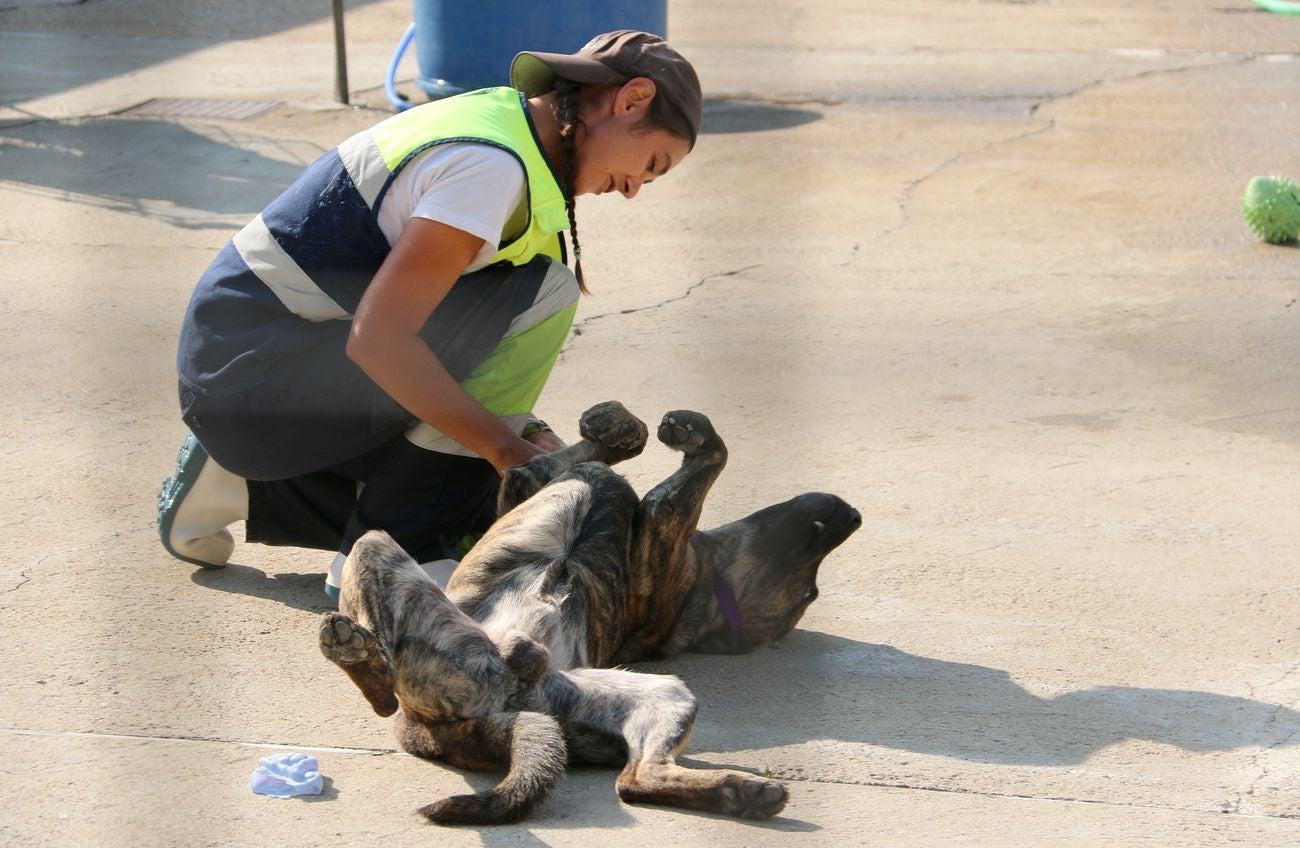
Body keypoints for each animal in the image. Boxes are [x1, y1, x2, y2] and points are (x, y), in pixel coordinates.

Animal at [319, 400, 857, 827]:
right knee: (636, 779)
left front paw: (673, 433)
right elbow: (594, 451)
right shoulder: (530, 483)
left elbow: (705, 459)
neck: (700, 593)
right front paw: (617, 426)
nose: (853, 517)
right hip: (632, 695)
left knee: (636, 780)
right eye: (809, 591)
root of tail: (433, 732)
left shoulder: (656, 514)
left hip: (629, 694)